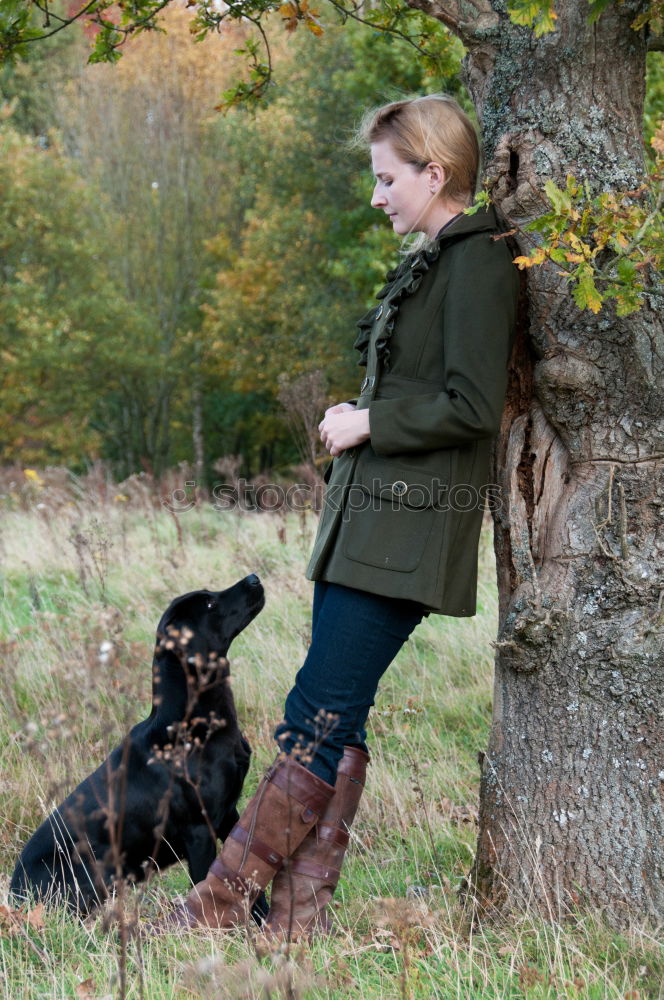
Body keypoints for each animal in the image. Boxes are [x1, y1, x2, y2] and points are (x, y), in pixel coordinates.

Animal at [9, 576, 264, 916]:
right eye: (210, 603)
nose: (254, 578)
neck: (190, 726)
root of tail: (13, 893)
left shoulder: (229, 814)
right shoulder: (200, 830)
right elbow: (205, 885)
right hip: (92, 877)